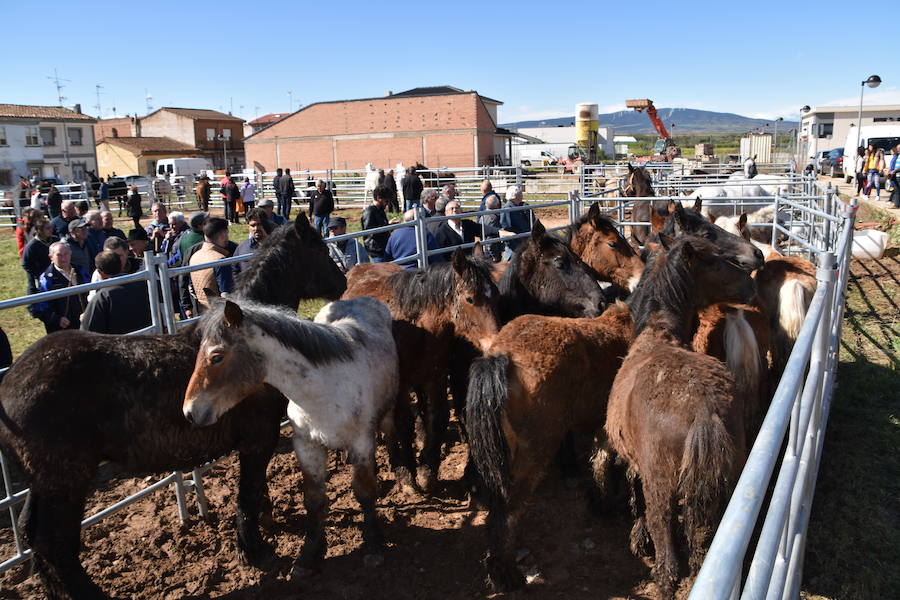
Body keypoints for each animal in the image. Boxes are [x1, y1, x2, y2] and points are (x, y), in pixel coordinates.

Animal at [0, 213, 348, 600]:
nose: (343, 282)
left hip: (43, 483)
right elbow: (247, 492)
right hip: (65, 482)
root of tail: (10, 382)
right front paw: (253, 550)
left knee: (32, 534)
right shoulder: (258, 438)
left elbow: (255, 490)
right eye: (320, 249)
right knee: (54, 543)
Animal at [183, 298, 398, 576]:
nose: (190, 412)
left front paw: (374, 546)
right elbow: (314, 500)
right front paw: (309, 555)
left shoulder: (361, 442)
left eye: (216, 356)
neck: (324, 390)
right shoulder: (306, 446)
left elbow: (364, 491)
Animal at [342, 248, 500, 492]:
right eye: (470, 299)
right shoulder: (400, 385)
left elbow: (439, 417)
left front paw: (428, 470)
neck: (418, 328)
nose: (495, 344)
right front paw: (407, 475)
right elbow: (401, 424)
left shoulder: (435, 377)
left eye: (497, 295)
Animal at [464, 302, 632, 592]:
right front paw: (607, 504)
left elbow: (599, 461)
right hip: (534, 453)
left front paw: (600, 503)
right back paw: (507, 576)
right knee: (508, 510)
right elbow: (604, 461)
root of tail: (503, 357)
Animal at [600, 234, 756, 600]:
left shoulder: (636, 465)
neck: (656, 334)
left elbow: (639, 504)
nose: (751, 285)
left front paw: (639, 540)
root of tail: (704, 412)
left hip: (661, 486)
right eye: (713, 259)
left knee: (666, 547)